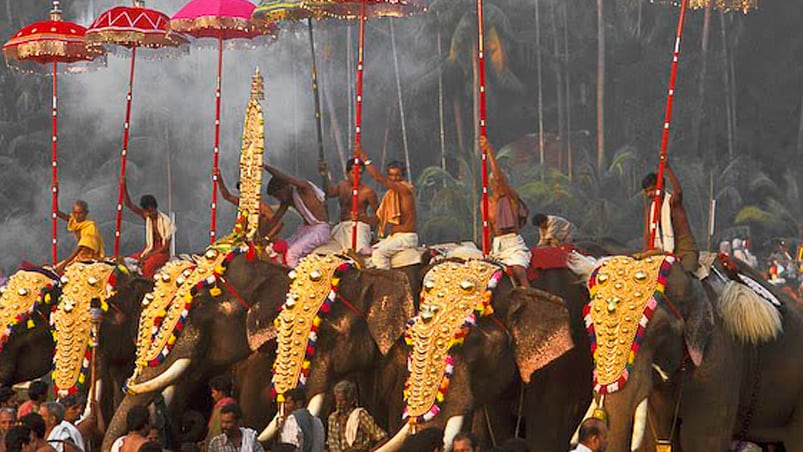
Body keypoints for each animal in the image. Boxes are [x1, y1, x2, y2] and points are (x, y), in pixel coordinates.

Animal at [572, 252, 803, 450]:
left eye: (660, 329)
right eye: (589, 324)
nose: (596, 428)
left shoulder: (718, 362)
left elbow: (700, 442)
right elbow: (661, 440)